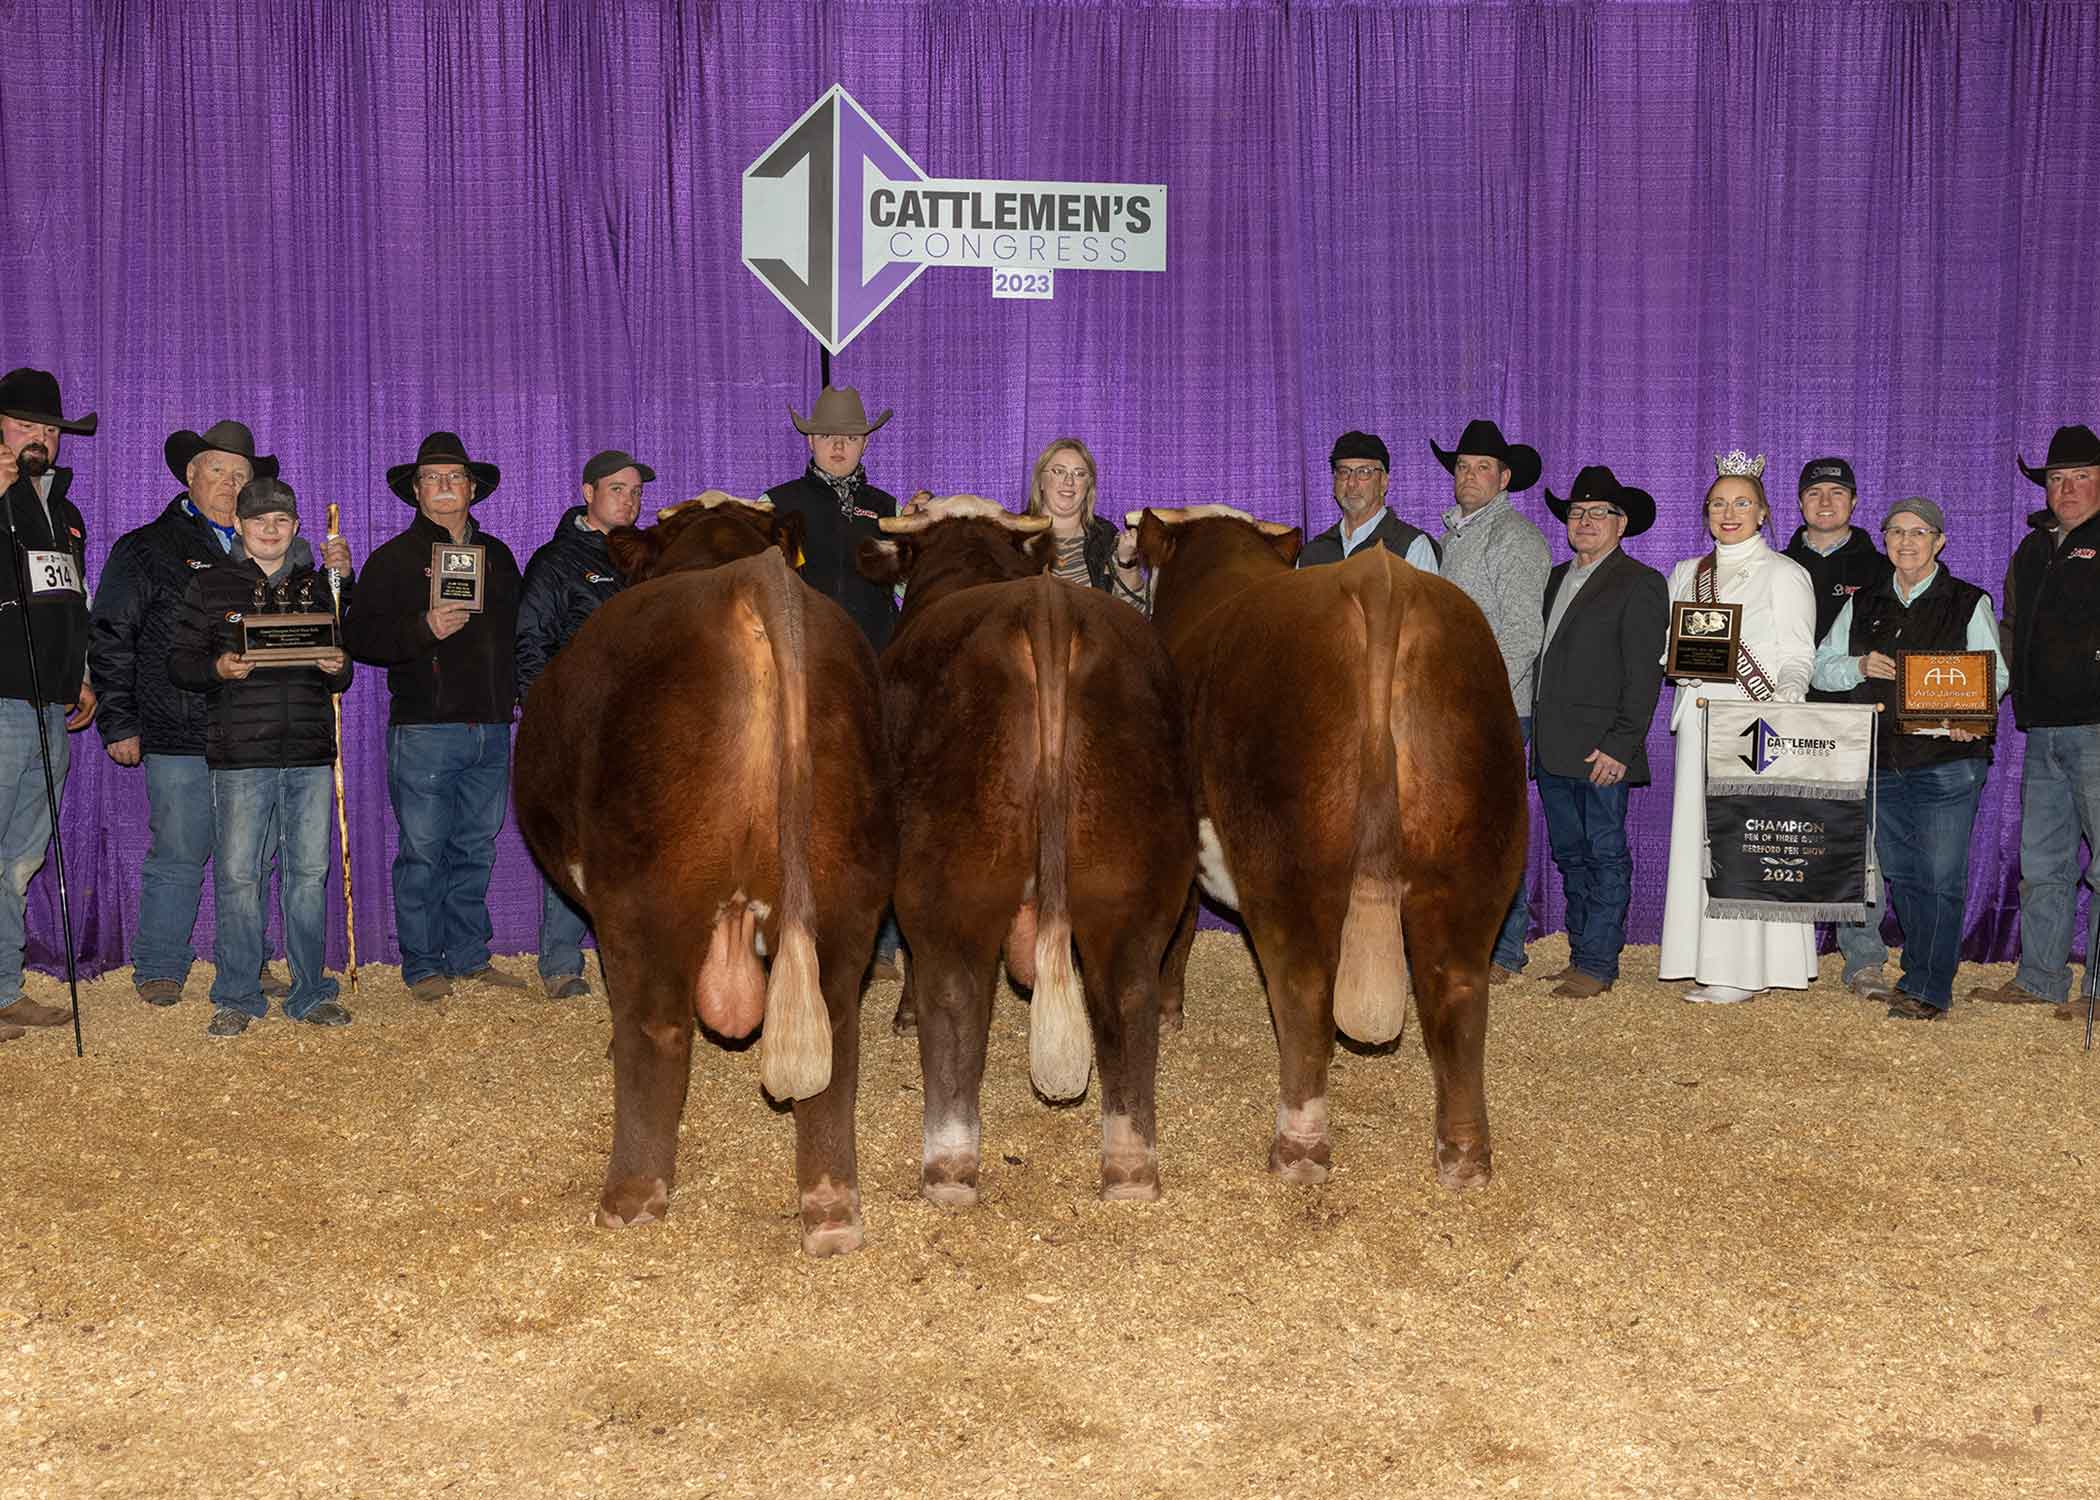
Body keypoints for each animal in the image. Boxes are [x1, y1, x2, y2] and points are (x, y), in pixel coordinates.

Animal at [520, 493, 898, 1252]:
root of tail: (747, 579)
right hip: (845, 887)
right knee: (837, 1036)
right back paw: (831, 1210)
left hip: (648, 897)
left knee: (657, 1027)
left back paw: (629, 1198)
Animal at [852, 495, 1201, 1201]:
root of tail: (1047, 607)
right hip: (1130, 879)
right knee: (1128, 995)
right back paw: (1130, 1166)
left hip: (951, 879)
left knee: (955, 993)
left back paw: (949, 1166)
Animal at [1134, 502, 1528, 1176]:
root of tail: (1383, 582)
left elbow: (1181, 930)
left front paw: (1168, 1012)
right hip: (1475, 852)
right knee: (1456, 986)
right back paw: (1464, 1155)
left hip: (1287, 864)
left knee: (1303, 985)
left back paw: (1298, 1147)